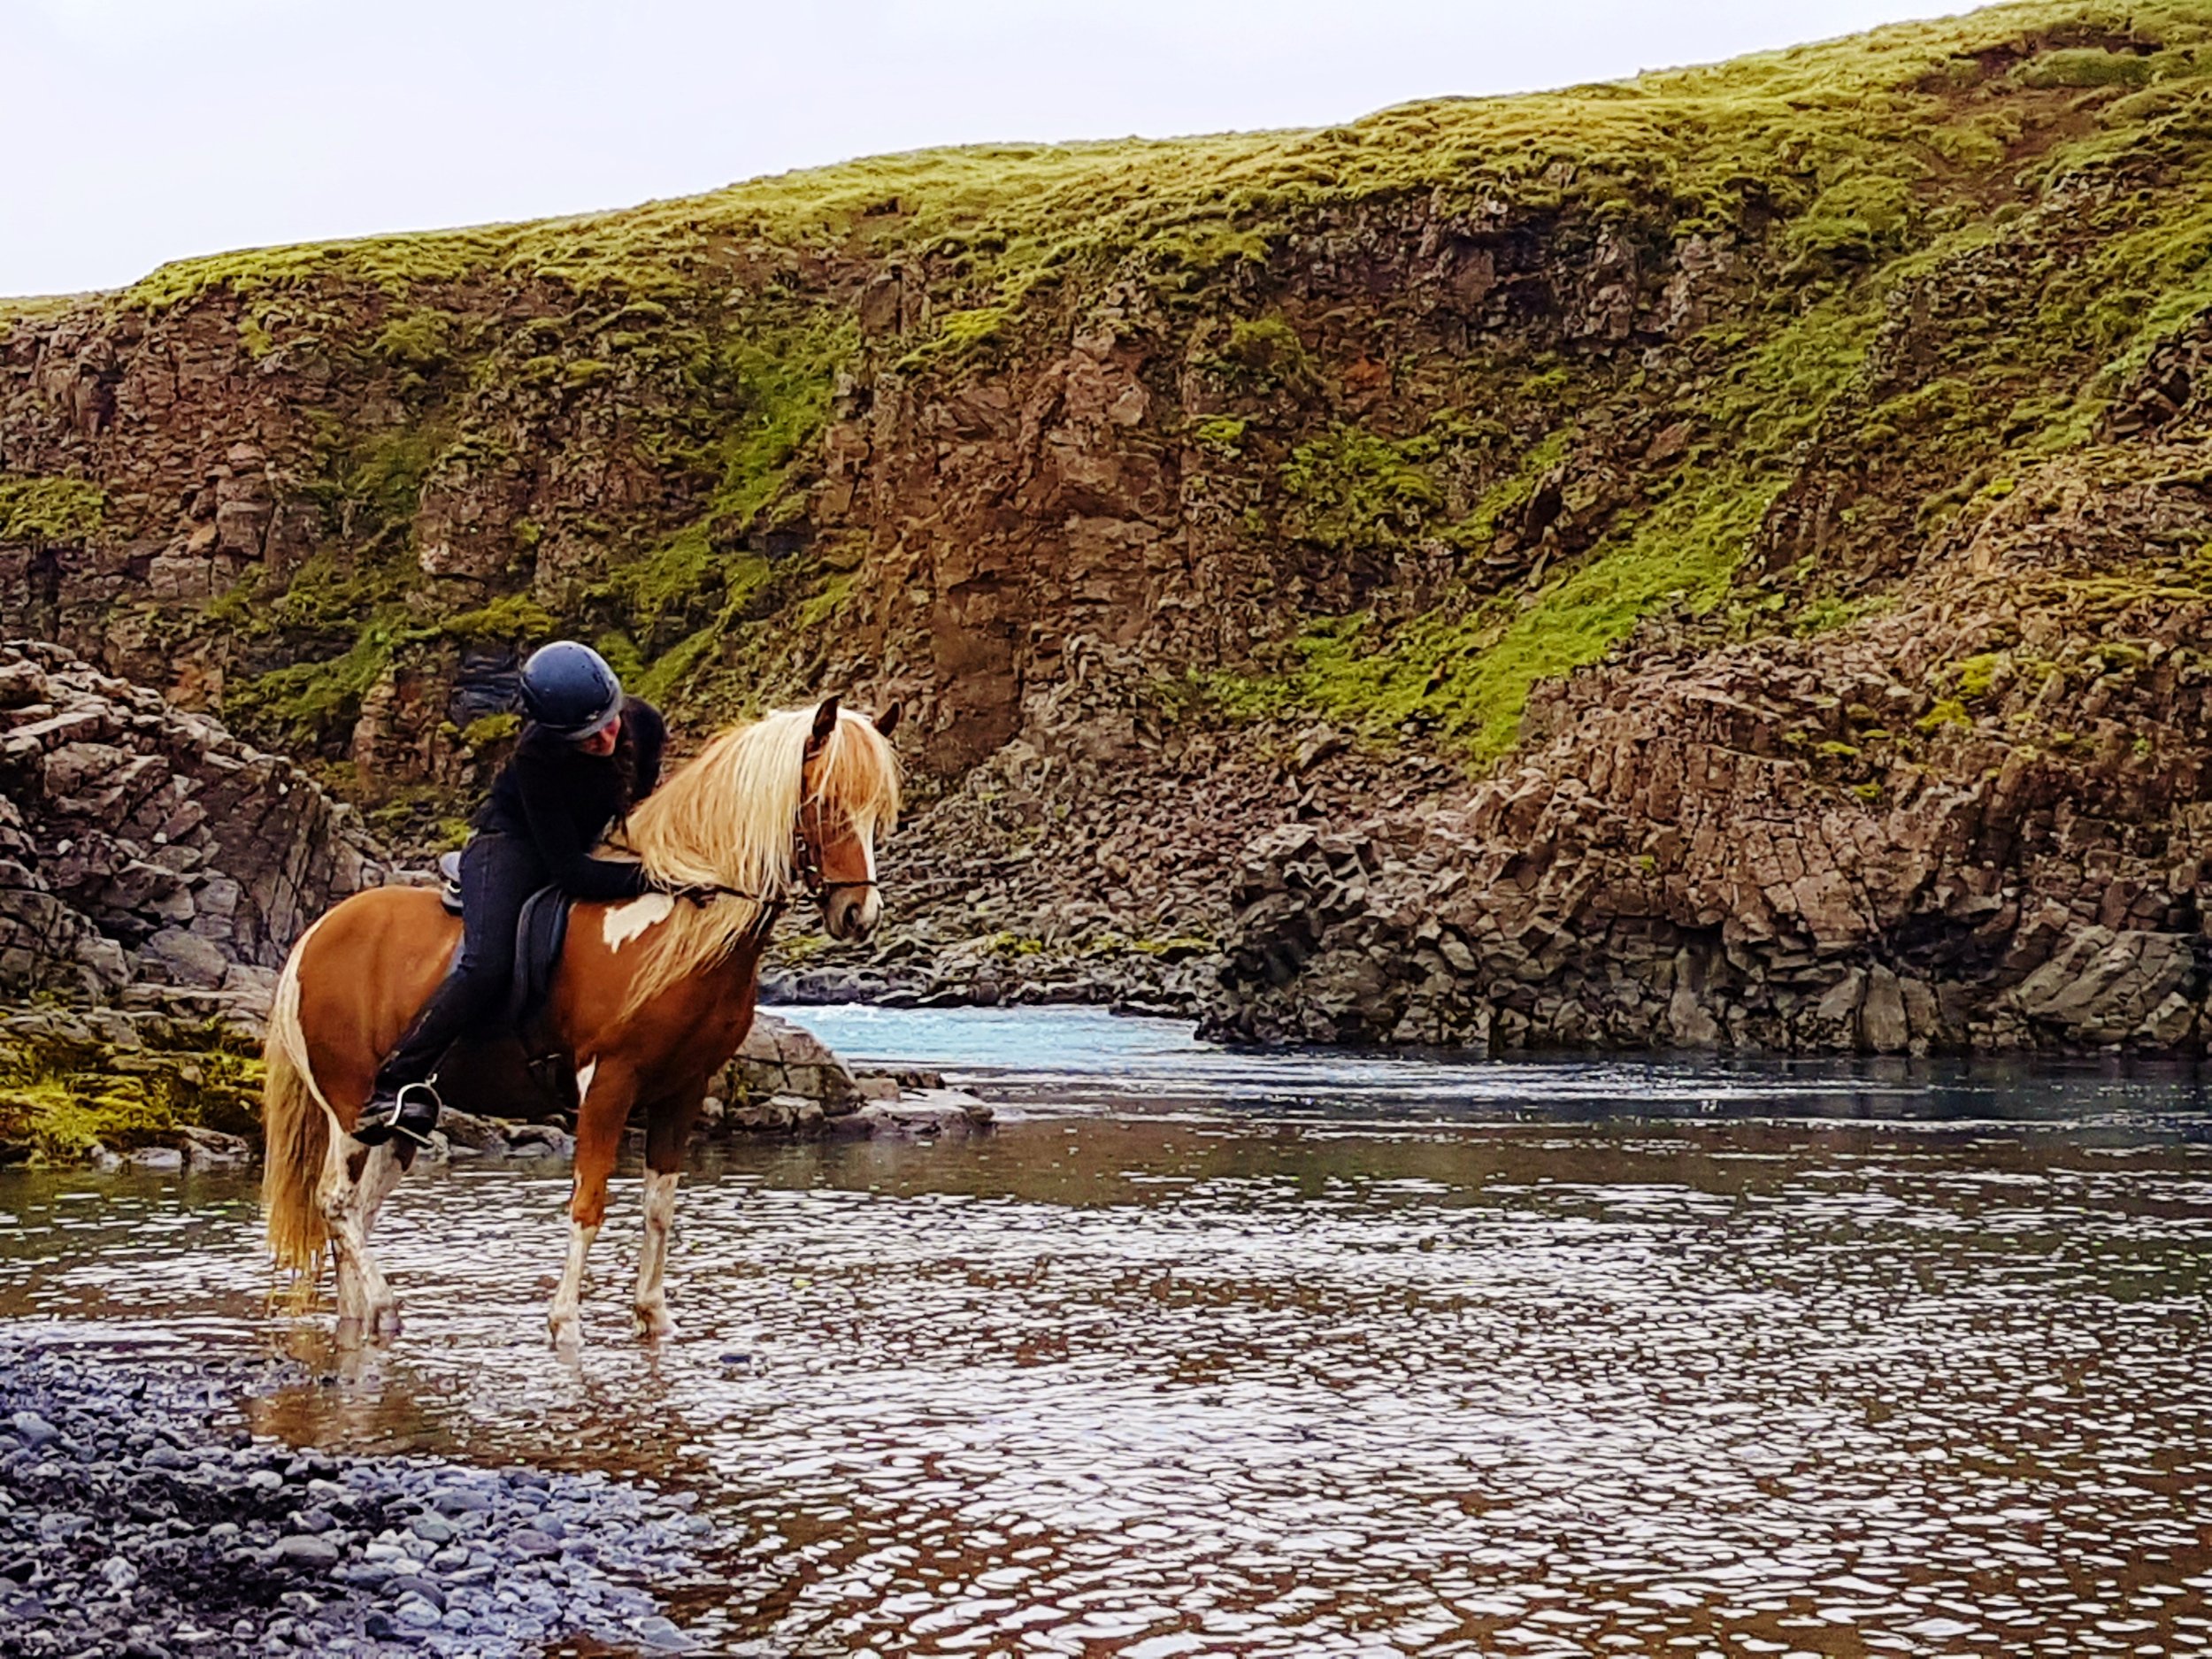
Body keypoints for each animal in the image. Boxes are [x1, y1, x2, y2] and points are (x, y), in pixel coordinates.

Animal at [259, 696, 901, 1350]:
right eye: (825, 801)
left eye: (877, 811)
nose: (860, 913)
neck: (672, 927)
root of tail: (316, 935)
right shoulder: (609, 1081)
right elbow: (588, 1203)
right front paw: (565, 1322)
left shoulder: (682, 1089)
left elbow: (659, 1208)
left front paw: (654, 1316)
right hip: (348, 1104)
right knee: (336, 1202)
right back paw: (385, 1305)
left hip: (404, 1123)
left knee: (358, 1212)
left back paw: (361, 1316)